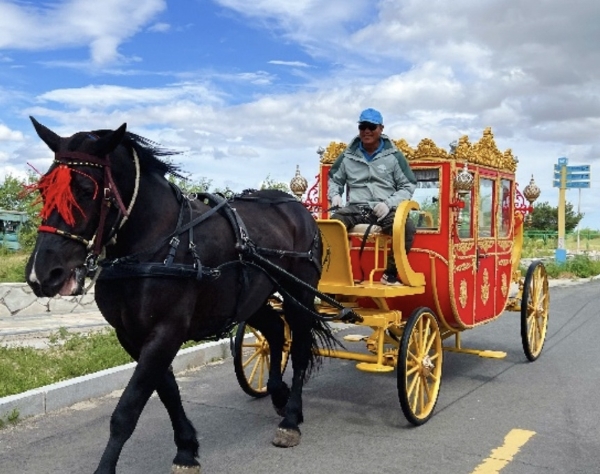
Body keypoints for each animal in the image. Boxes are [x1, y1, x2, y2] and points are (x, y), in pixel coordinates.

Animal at [24, 118, 338, 474]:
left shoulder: (166, 331)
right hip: (252, 299)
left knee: (299, 347)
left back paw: (291, 418)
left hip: (299, 293)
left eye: (84, 189)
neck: (156, 243)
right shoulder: (132, 336)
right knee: (273, 331)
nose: (41, 274)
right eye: (43, 189)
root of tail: (297, 207)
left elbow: (127, 409)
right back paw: (277, 393)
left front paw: (107, 467)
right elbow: (167, 391)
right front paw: (186, 449)